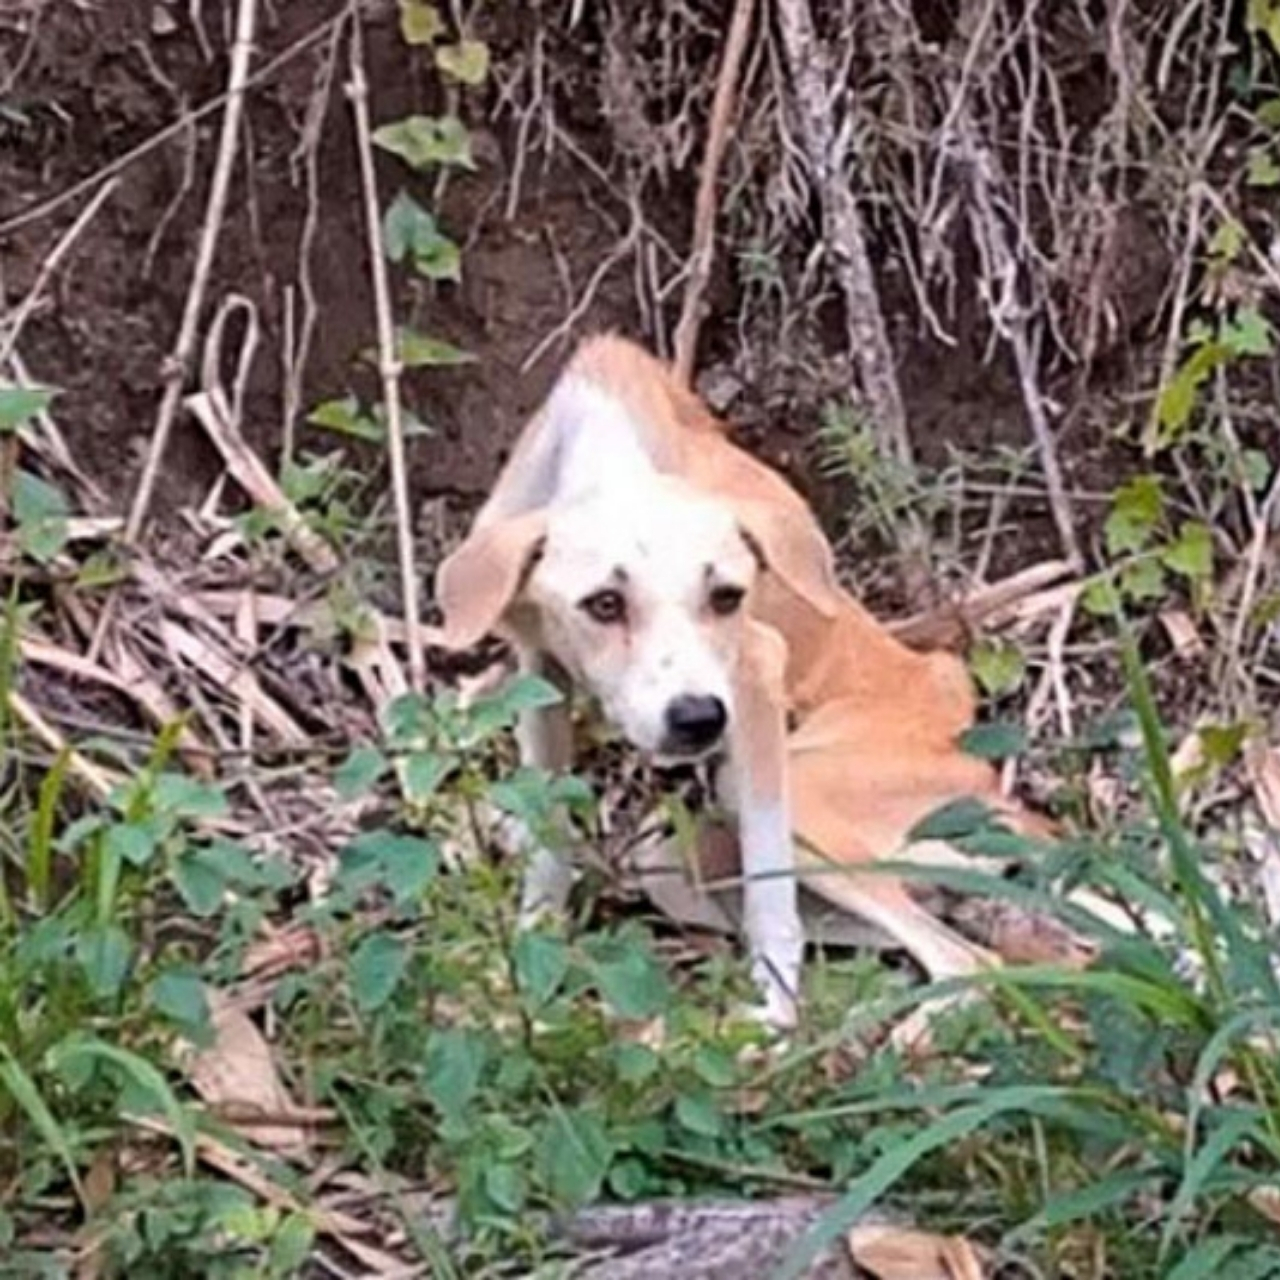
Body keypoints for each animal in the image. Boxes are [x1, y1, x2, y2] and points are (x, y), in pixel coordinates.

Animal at [435, 334, 1056, 1032]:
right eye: (604, 604)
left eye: (728, 596)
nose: (698, 719)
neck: (606, 449)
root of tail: (994, 787)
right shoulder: (540, 672)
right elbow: (548, 846)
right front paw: (526, 974)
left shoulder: (757, 675)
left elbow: (772, 904)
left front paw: (778, 1017)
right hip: (676, 867)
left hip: (794, 794)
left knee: (963, 958)